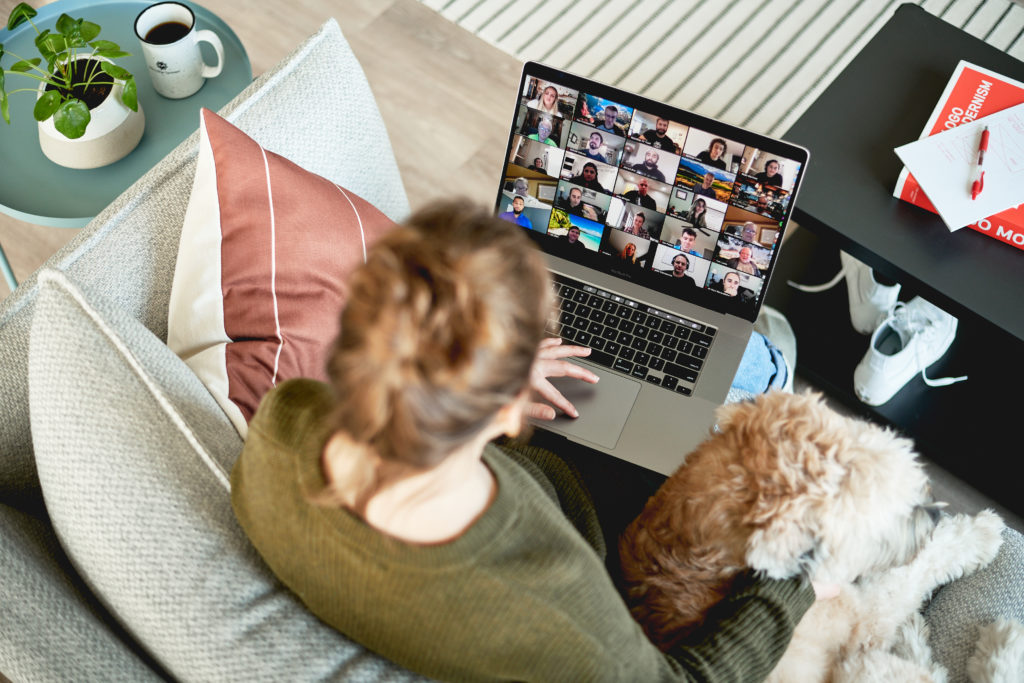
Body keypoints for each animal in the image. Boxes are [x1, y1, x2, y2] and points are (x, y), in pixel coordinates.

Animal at [614, 393, 1007, 679]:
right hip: (865, 669)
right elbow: (917, 569)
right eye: (876, 514)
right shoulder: (867, 616)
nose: (934, 512)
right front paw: (983, 533)